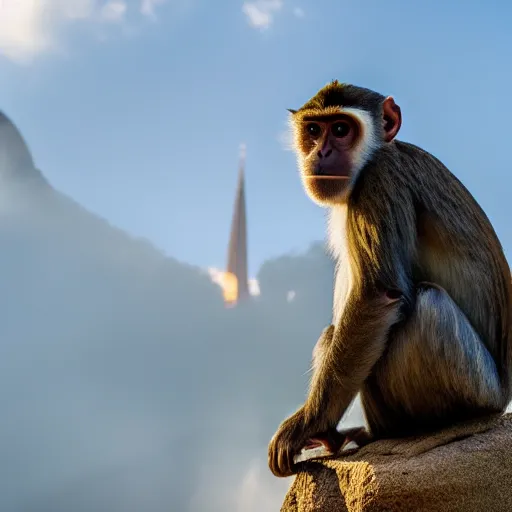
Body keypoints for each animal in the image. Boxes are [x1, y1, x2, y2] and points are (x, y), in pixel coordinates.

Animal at [266, 79, 512, 476]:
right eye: (314, 130)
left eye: (341, 129)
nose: (320, 152)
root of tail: (502, 398)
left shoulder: (379, 177)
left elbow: (377, 294)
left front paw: (306, 425)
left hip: (476, 385)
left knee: (429, 305)